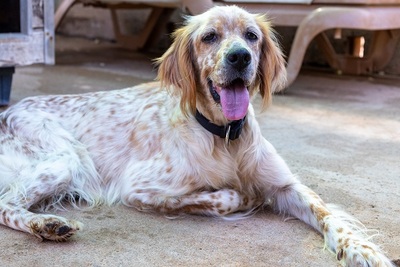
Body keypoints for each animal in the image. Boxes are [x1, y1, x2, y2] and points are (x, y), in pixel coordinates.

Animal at [0, 6, 394, 267]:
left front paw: (364, 252)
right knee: (6, 204)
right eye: (210, 37)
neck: (226, 137)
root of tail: (8, 110)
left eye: (251, 36)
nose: (240, 57)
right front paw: (244, 197)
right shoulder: (138, 188)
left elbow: (328, 215)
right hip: (67, 158)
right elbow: (223, 196)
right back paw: (47, 224)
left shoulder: (286, 185)